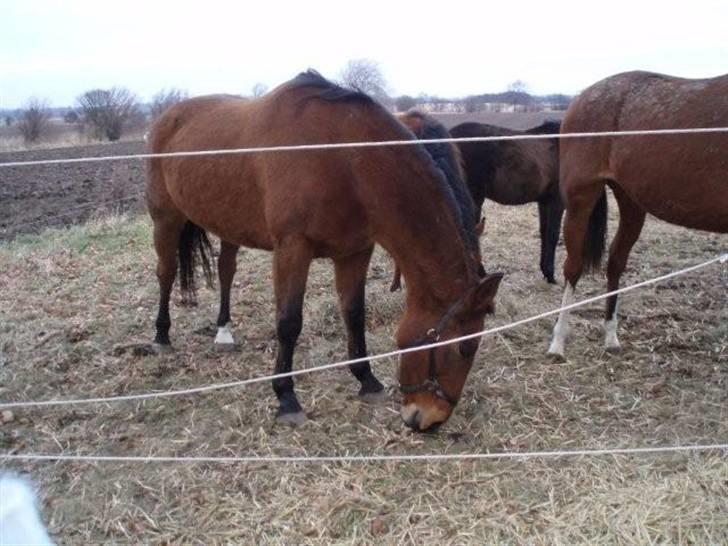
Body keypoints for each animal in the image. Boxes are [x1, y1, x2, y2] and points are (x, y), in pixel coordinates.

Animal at [145, 71, 504, 430]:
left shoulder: (355, 252)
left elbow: (354, 314)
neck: (342, 158)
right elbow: (289, 322)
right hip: (166, 218)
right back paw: (161, 337)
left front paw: (367, 380)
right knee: (166, 272)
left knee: (225, 271)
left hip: (227, 222)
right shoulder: (292, 248)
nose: (429, 419)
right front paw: (286, 397)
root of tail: (166, 117)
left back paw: (223, 332)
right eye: (465, 348)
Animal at [450, 118, 564, 280]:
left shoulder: (544, 201)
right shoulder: (557, 201)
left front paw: (544, 270)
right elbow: (553, 235)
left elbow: (544, 233)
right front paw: (550, 275)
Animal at [544, 71, 728, 356]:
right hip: (579, 201)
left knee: (615, 262)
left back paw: (611, 337)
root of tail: (582, 97)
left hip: (631, 203)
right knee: (573, 268)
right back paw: (557, 343)